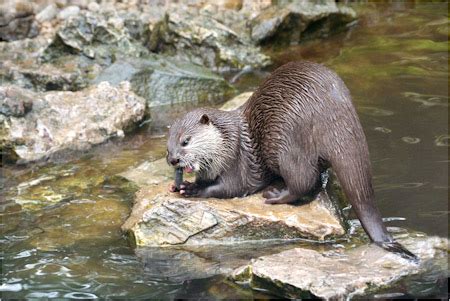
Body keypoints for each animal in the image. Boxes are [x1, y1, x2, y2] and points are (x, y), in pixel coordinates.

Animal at [167, 61, 416, 260]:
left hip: (288, 143)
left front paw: (192, 189)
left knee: (303, 181)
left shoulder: (237, 162)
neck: (227, 141)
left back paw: (276, 195)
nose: (173, 160)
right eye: (168, 146)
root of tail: (335, 114)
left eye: (186, 141)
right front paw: (180, 184)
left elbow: (229, 188)